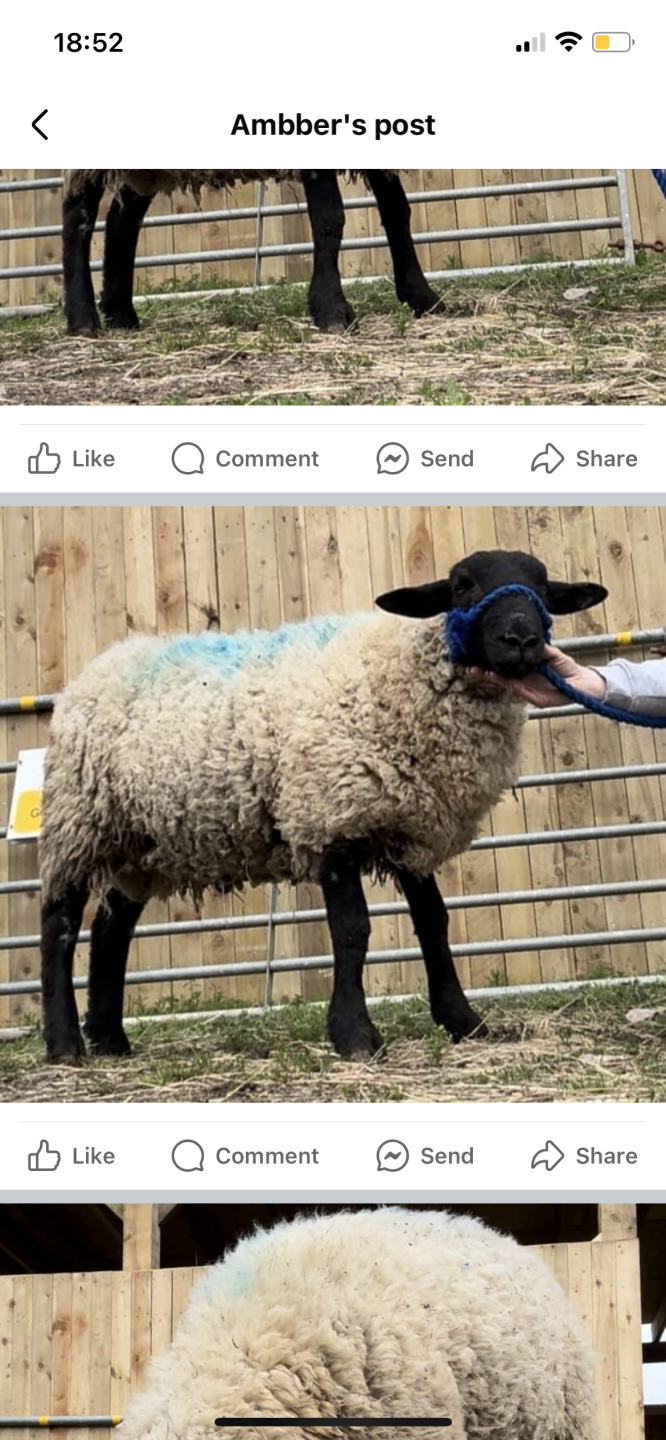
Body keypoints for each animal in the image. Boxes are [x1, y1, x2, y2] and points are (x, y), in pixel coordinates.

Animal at [39, 548, 607, 1064]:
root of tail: (98, 667)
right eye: (462, 585)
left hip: (141, 841)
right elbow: (352, 930)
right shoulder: (332, 817)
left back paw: (110, 1040)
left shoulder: (408, 824)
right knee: (59, 922)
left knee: (111, 928)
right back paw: (66, 1045)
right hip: (79, 820)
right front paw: (354, 1035)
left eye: (542, 586)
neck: (401, 677)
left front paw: (463, 1021)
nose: (521, 641)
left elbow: (434, 922)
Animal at [61, 169, 441, 336]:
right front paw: (332, 309)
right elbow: (330, 217)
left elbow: (397, 209)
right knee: (78, 214)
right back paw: (83, 319)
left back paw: (120, 313)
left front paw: (421, 296)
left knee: (122, 218)